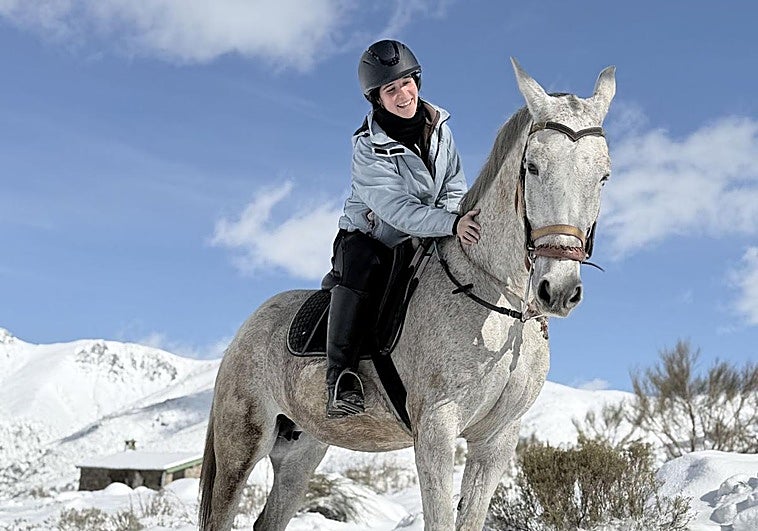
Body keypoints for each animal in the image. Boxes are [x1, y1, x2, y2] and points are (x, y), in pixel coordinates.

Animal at [199, 58, 616, 531]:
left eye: (603, 175)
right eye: (532, 167)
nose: (558, 290)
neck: (498, 306)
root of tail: (245, 332)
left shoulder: (496, 440)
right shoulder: (436, 431)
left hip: (302, 450)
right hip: (242, 443)